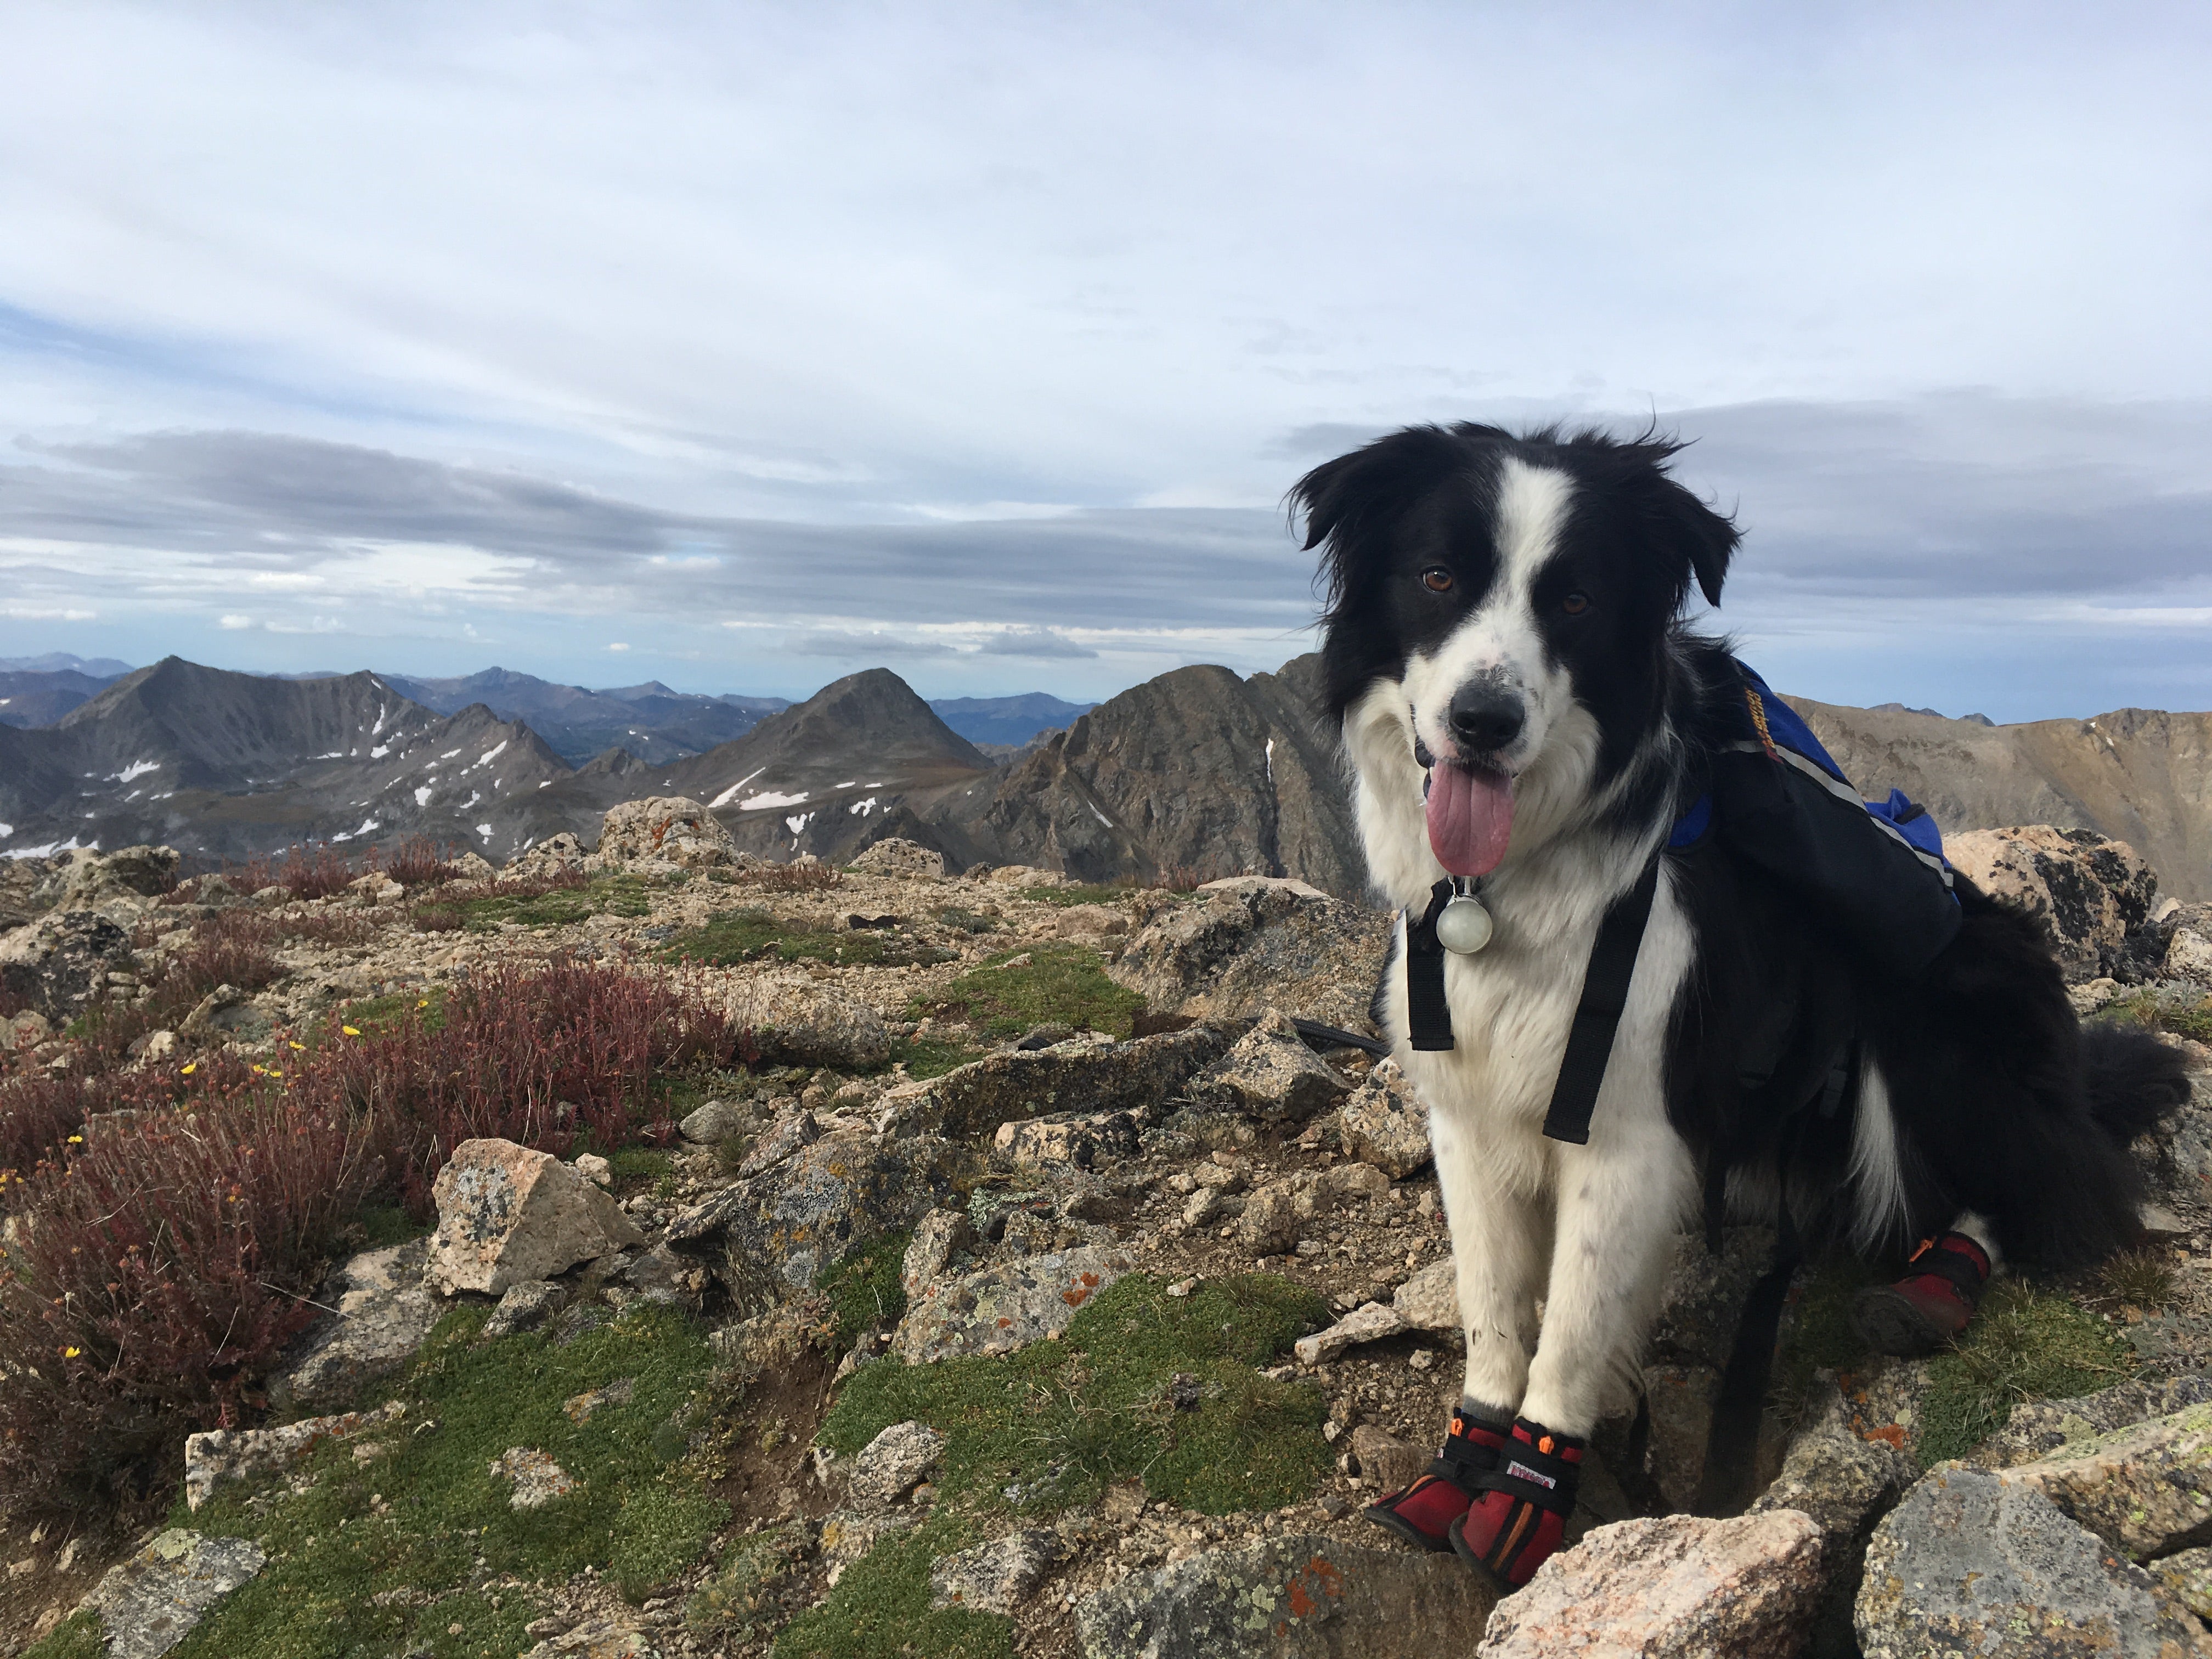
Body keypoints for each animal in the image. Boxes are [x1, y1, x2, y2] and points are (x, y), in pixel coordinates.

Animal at [1300, 422, 2185, 1593]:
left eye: (1574, 599)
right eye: (1438, 576)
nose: (1482, 723)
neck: (1505, 889)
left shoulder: (1626, 1132)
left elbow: (1570, 1323)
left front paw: (1531, 1491)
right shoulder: (1468, 1114)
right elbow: (1493, 1308)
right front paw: (1464, 1462)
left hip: (1935, 1023)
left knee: (2046, 1181)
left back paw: (1936, 1280)